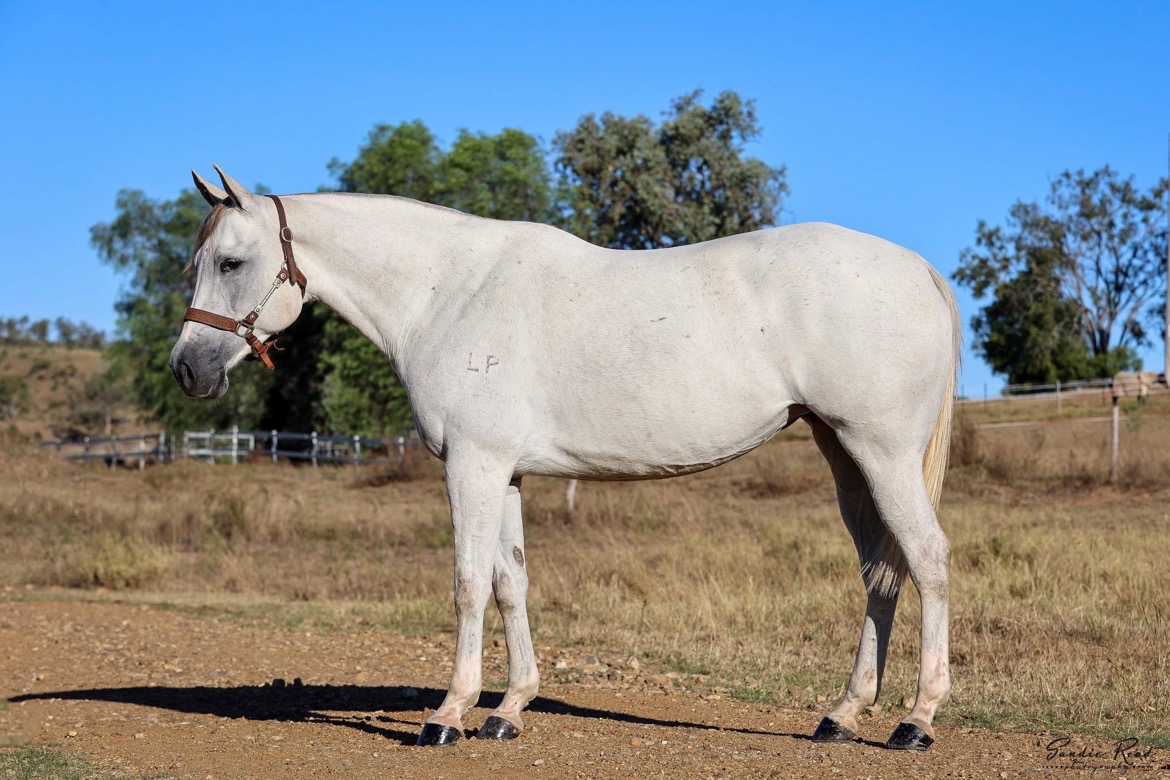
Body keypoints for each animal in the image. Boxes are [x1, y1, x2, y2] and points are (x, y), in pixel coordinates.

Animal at [171, 166, 960, 752]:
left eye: (232, 262)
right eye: (197, 264)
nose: (187, 370)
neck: (446, 292)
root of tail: (920, 270)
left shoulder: (472, 465)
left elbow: (467, 584)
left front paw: (447, 715)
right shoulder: (506, 472)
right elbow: (510, 582)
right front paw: (507, 710)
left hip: (882, 453)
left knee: (927, 560)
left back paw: (916, 721)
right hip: (844, 454)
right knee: (880, 573)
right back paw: (842, 714)